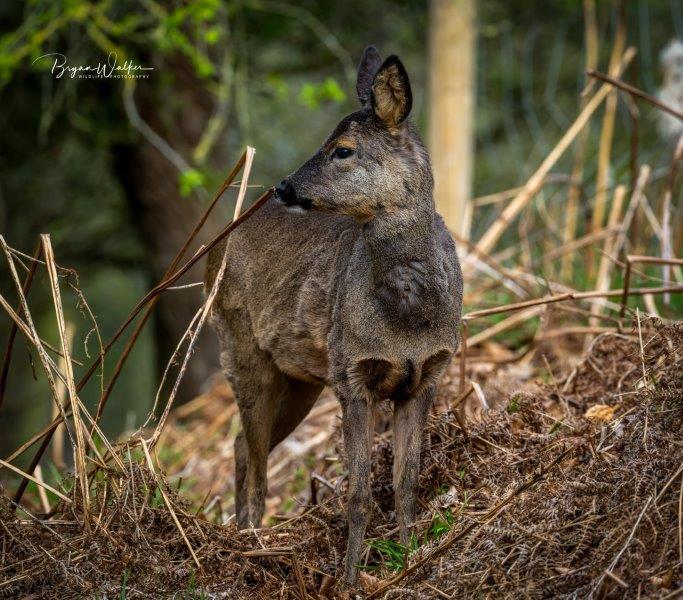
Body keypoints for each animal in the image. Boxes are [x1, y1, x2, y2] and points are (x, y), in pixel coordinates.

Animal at [207, 47, 464, 584]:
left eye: (343, 149)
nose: (283, 186)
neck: (407, 321)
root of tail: (211, 248)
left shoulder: (428, 374)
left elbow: (406, 481)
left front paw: (409, 558)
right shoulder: (351, 374)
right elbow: (359, 491)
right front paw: (350, 578)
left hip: (301, 379)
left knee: (241, 446)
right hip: (239, 347)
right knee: (254, 460)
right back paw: (251, 543)